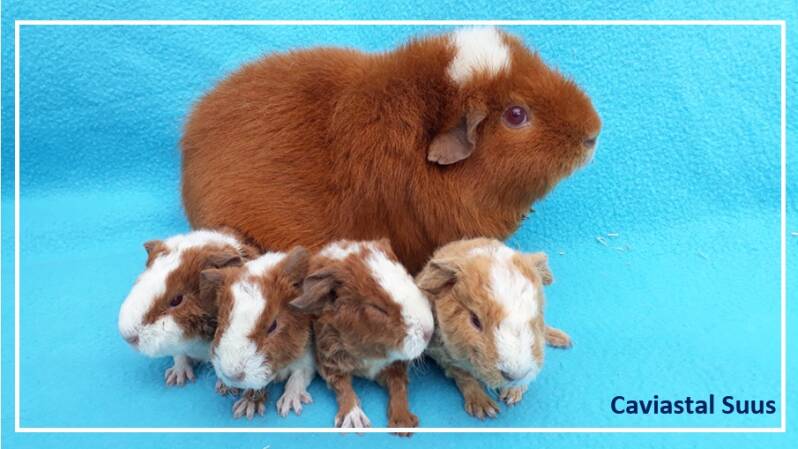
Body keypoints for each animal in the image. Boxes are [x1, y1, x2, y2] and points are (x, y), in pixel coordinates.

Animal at [118, 229, 259, 386]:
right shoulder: (179, 348)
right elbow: (179, 356)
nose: (128, 337)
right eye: (139, 281)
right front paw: (176, 379)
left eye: (177, 300)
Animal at [199, 247, 316, 420]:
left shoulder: (308, 358)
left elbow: (298, 377)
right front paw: (245, 407)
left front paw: (287, 407)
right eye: (221, 319)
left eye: (273, 325)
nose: (231, 375)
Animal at [290, 240, 434, 434]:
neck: (370, 355)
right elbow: (343, 387)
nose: (429, 332)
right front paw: (355, 422)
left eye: (410, 278)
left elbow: (399, 385)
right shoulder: (329, 360)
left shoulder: (395, 365)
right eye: (377, 308)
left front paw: (403, 426)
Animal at [415, 238, 572, 419]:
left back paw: (564, 340)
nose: (515, 375)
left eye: (537, 312)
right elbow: (464, 376)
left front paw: (511, 396)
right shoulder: (442, 355)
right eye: (475, 320)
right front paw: (485, 410)